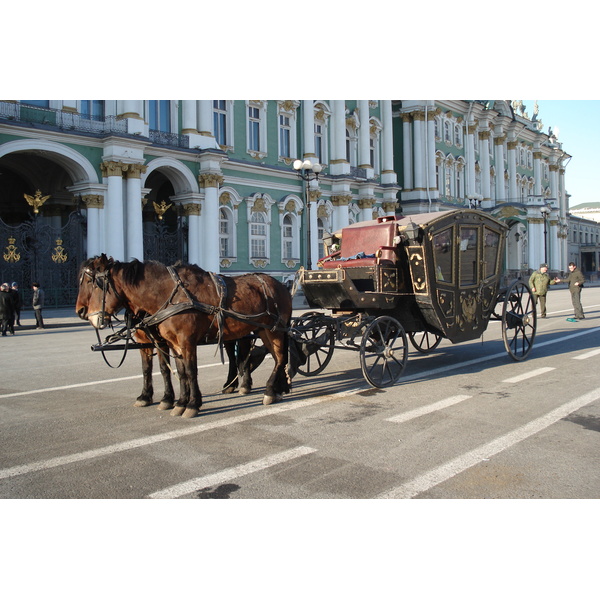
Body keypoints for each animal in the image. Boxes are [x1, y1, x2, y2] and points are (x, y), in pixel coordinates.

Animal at [76, 253, 292, 418]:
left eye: (92, 282)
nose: (82, 312)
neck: (169, 296)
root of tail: (281, 286)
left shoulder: (185, 342)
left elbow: (189, 371)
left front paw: (191, 404)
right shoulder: (169, 343)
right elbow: (173, 372)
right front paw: (176, 401)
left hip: (273, 330)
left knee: (279, 358)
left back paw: (269, 390)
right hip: (258, 330)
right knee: (262, 357)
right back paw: (273, 388)